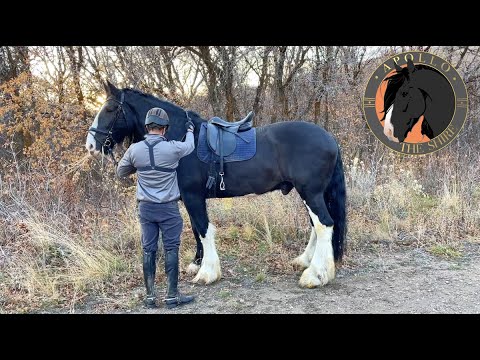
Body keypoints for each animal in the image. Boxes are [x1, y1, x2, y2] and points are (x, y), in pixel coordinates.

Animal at [86, 81, 346, 286]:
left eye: (110, 109)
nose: (90, 145)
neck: (181, 139)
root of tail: (329, 138)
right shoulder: (191, 198)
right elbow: (195, 228)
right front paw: (196, 263)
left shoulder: (193, 196)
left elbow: (203, 229)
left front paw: (207, 273)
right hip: (312, 194)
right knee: (317, 226)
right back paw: (304, 262)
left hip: (310, 193)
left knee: (324, 225)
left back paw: (315, 274)